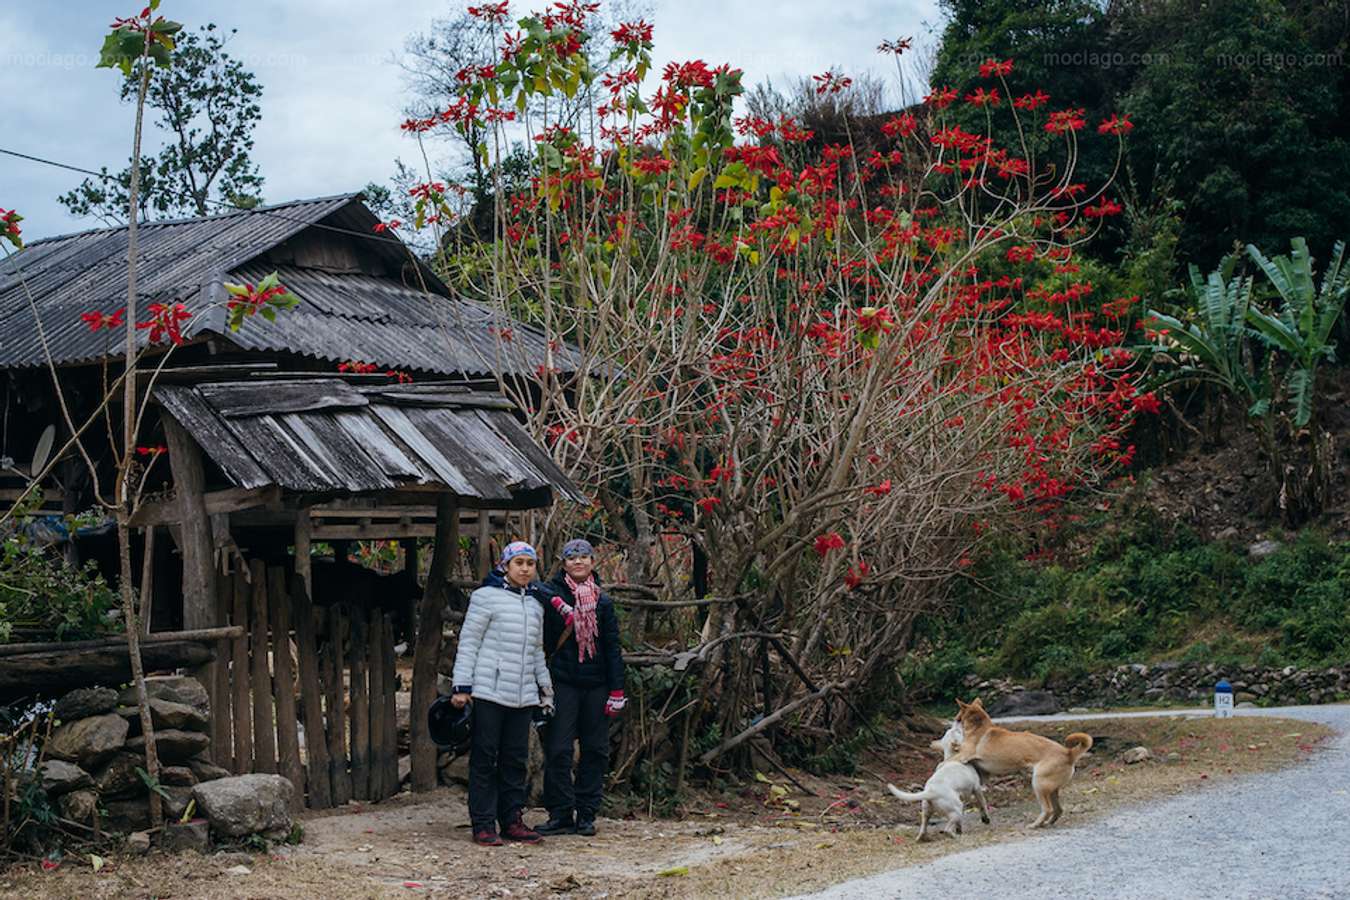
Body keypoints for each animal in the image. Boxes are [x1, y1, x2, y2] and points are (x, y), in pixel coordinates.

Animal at [955, 696, 1090, 831]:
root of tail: (1069, 753)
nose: (954, 720)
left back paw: (1035, 824)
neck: (979, 727)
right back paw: (1046, 823)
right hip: (1051, 790)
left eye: (959, 716)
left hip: (1038, 785)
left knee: (1048, 809)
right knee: (1058, 810)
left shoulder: (963, 756)